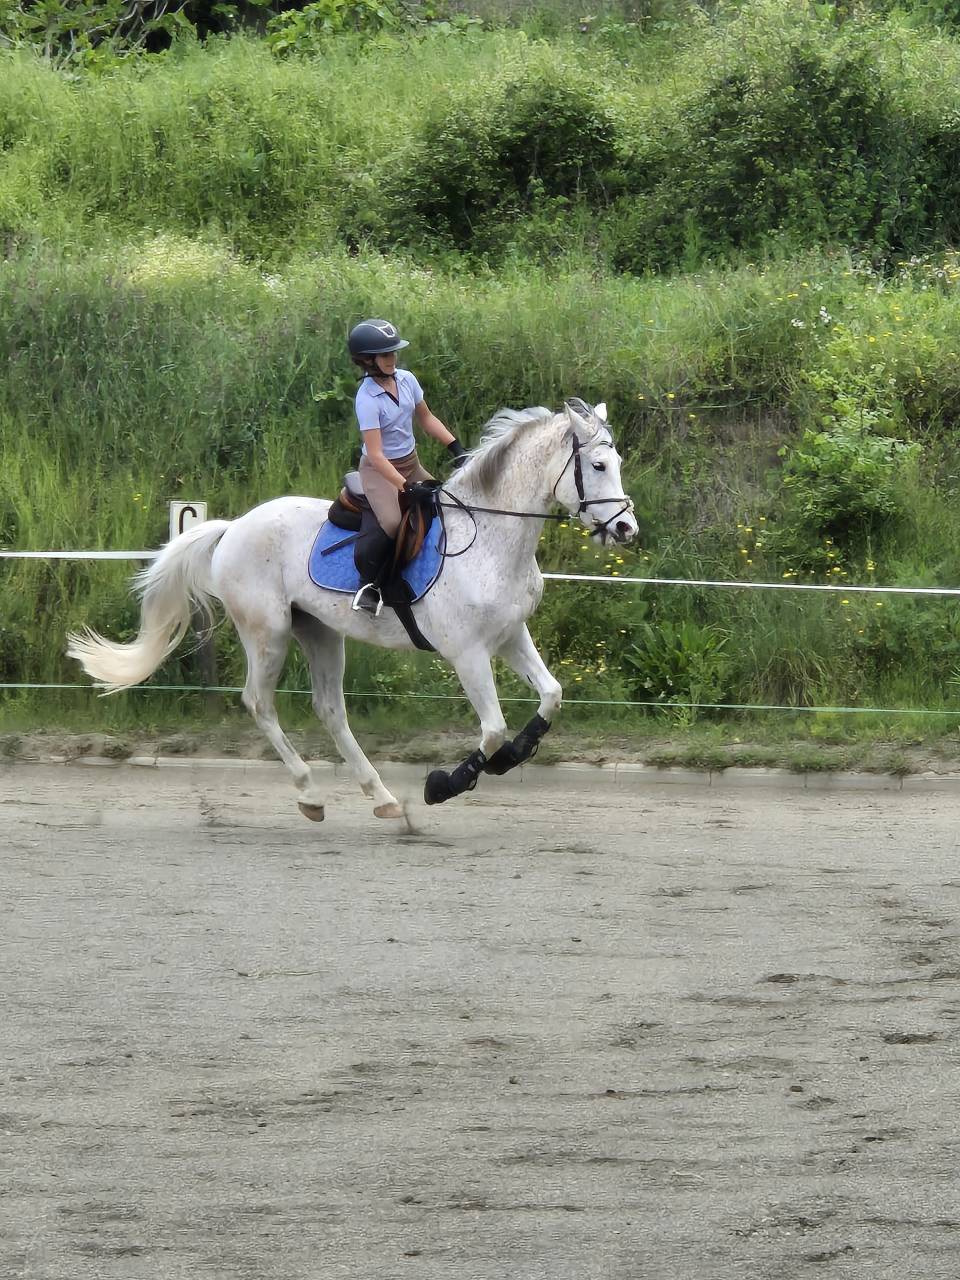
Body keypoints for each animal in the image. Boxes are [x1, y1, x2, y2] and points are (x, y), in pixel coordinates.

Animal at [67, 398, 639, 820]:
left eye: (616, 464)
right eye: (597, 465)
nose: (626, 529)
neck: (492, 537)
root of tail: (234, 527)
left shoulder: (510, 635)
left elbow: (551, 697)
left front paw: (512, 759)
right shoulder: (468, 653)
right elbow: (493, 727)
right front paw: (445, 784)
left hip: (320, 631)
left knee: (330, 709)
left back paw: (380, 797)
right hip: (268, 632)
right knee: (259, 702)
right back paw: (310, 793)